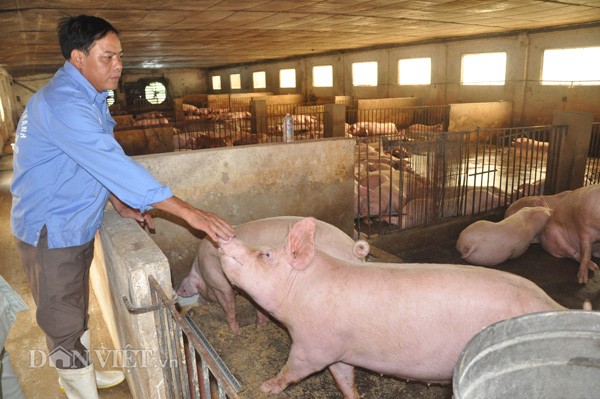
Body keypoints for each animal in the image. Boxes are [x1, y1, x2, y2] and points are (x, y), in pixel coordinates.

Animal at [217, 219, 564, 399]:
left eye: (266, 254)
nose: (226, 239)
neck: (301, 291)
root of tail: (553, 306)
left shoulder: (313, 345)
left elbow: (292, 369)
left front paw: (266, 386)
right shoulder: (339, 350)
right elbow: (344, 379)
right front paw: (355, 397)